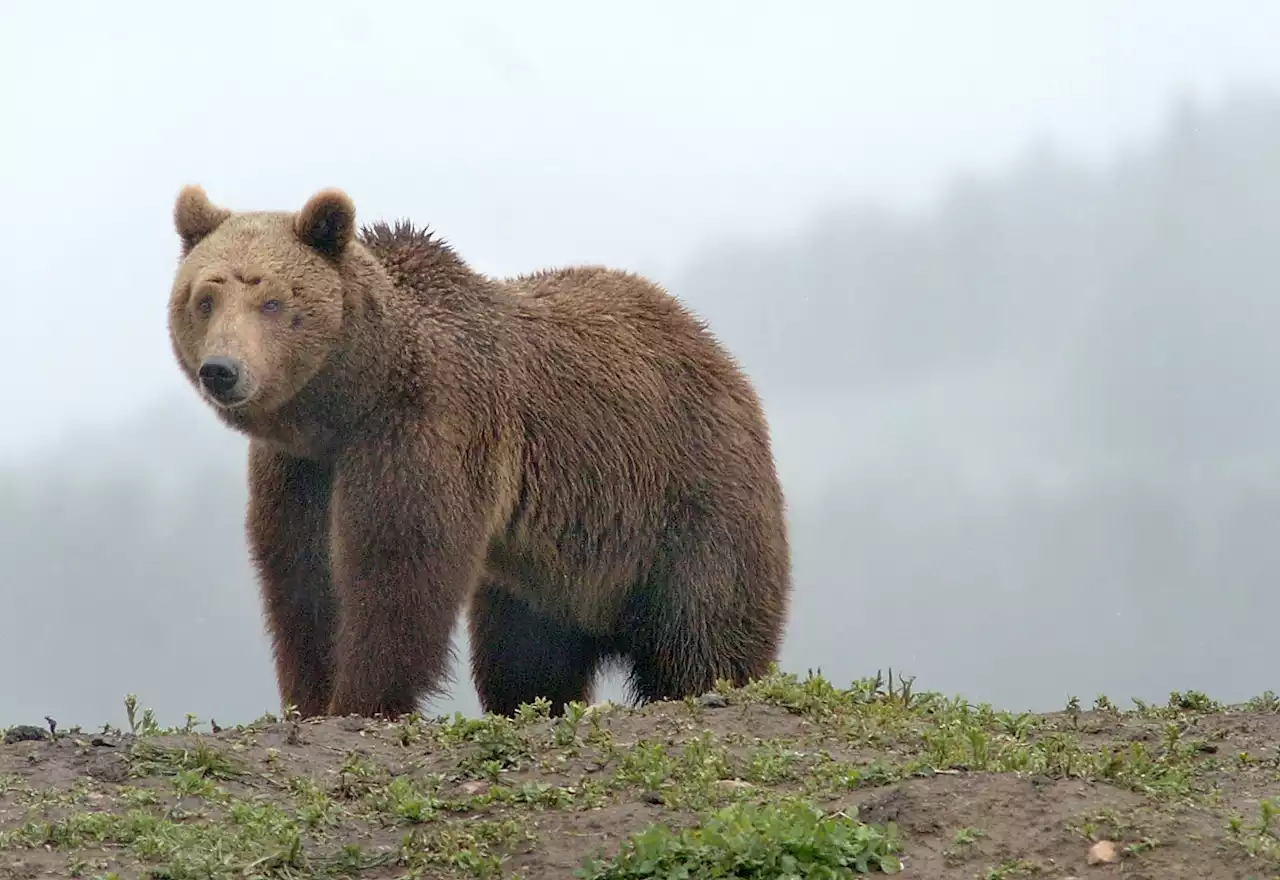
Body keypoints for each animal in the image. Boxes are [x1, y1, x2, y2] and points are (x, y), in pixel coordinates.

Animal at [166, 185, 793, 721]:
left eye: (271, 300)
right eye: (204, 297)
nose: (222, 370)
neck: (352, 395)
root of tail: (717, 350)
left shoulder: (427, 425)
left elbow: (399, 562)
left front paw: (362, 700)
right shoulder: (301, 465)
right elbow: (301, 571)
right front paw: (310, 696)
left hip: (686, 499)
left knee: (704, 631)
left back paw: (706, 681)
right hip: (548, 576)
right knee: (522, 655)